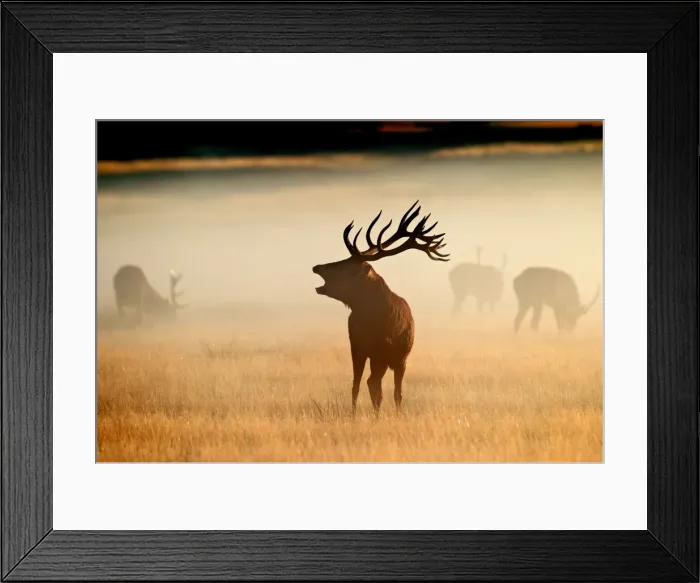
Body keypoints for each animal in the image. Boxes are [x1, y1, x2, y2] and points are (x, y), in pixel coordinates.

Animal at [312, 200, 449, 416]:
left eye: (344, 267)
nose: (316, 267)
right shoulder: (376, 354)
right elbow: (377, 389)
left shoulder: (401, 358)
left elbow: (397, 393)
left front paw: (397, 415)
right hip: (358, 348)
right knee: (359, 384)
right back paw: (354, 415)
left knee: (368, 383)